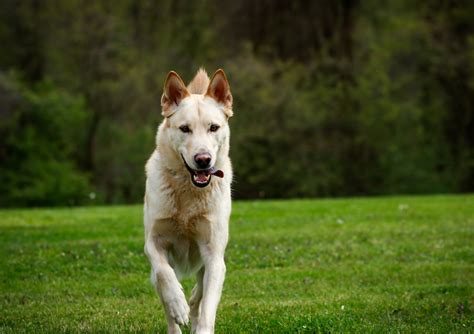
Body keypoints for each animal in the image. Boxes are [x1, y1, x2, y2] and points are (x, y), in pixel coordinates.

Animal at [144, 68, 233, 334]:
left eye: (213, 127)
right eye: (184, 128)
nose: (203, 159)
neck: (188, 192)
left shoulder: (214, 256)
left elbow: (208, 306)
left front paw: (200, 324)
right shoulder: (153, 243)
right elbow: (165, 275)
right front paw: (178, 305)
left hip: (211, 264)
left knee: (199, 295)